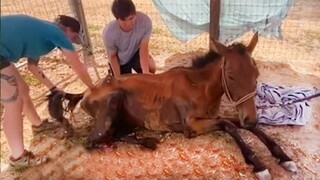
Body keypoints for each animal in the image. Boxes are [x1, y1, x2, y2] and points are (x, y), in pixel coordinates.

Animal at [47, 33, 298, 179]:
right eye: (231, 76)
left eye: (256, 74)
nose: (251, 116)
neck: (199, 87)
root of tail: (86, 91)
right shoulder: (192, 125)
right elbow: (231, 127)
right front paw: (259, 165)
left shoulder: (215, 116)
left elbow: (245, 126)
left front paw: (284, 158)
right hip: (112, 104)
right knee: (94, 140)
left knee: (117, 133)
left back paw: (148, 141)